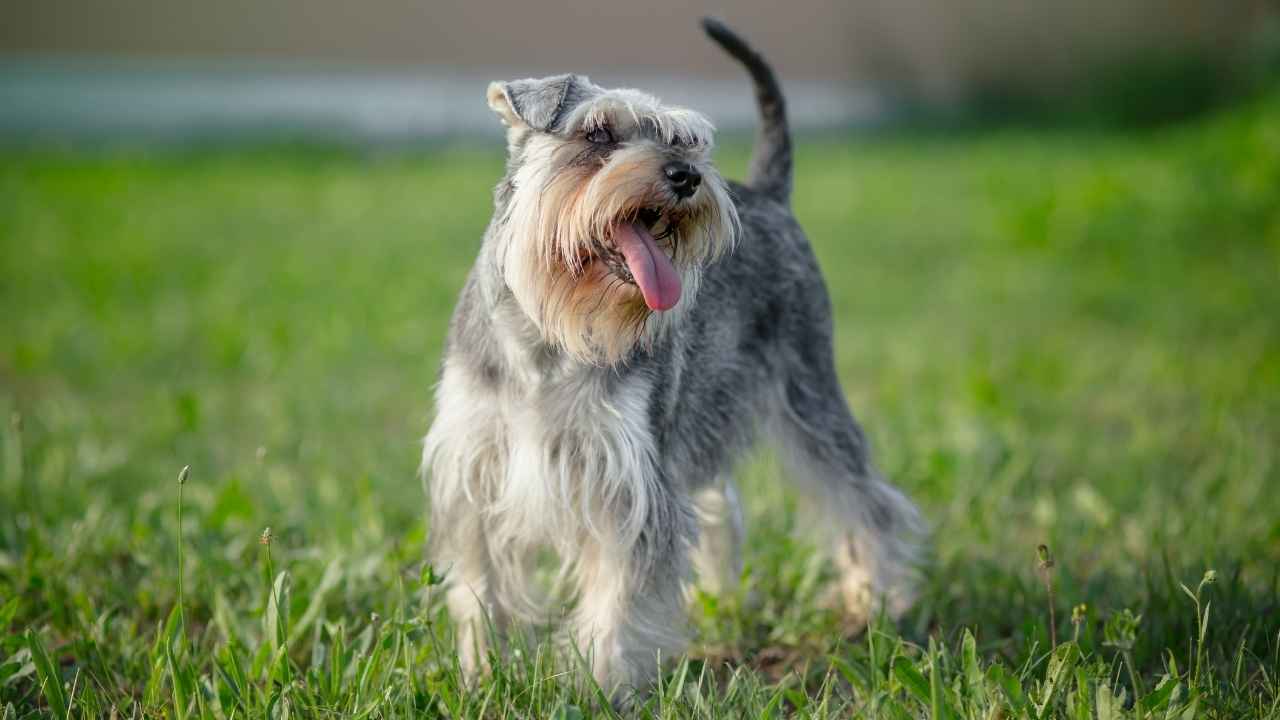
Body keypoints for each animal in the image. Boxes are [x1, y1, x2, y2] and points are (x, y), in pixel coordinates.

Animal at [424, 18, 926, 696]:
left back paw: (872, 603)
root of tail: (769, 193)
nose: (686, 175)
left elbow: (617, 601)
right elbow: (480, 591)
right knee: (723, 508)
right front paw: (480, 674)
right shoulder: (475, 472)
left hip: (809, 396)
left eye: (684, 139)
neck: (549, 337)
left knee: (863, 499)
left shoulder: (631, 483)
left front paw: (594, 687)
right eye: (597, 133)